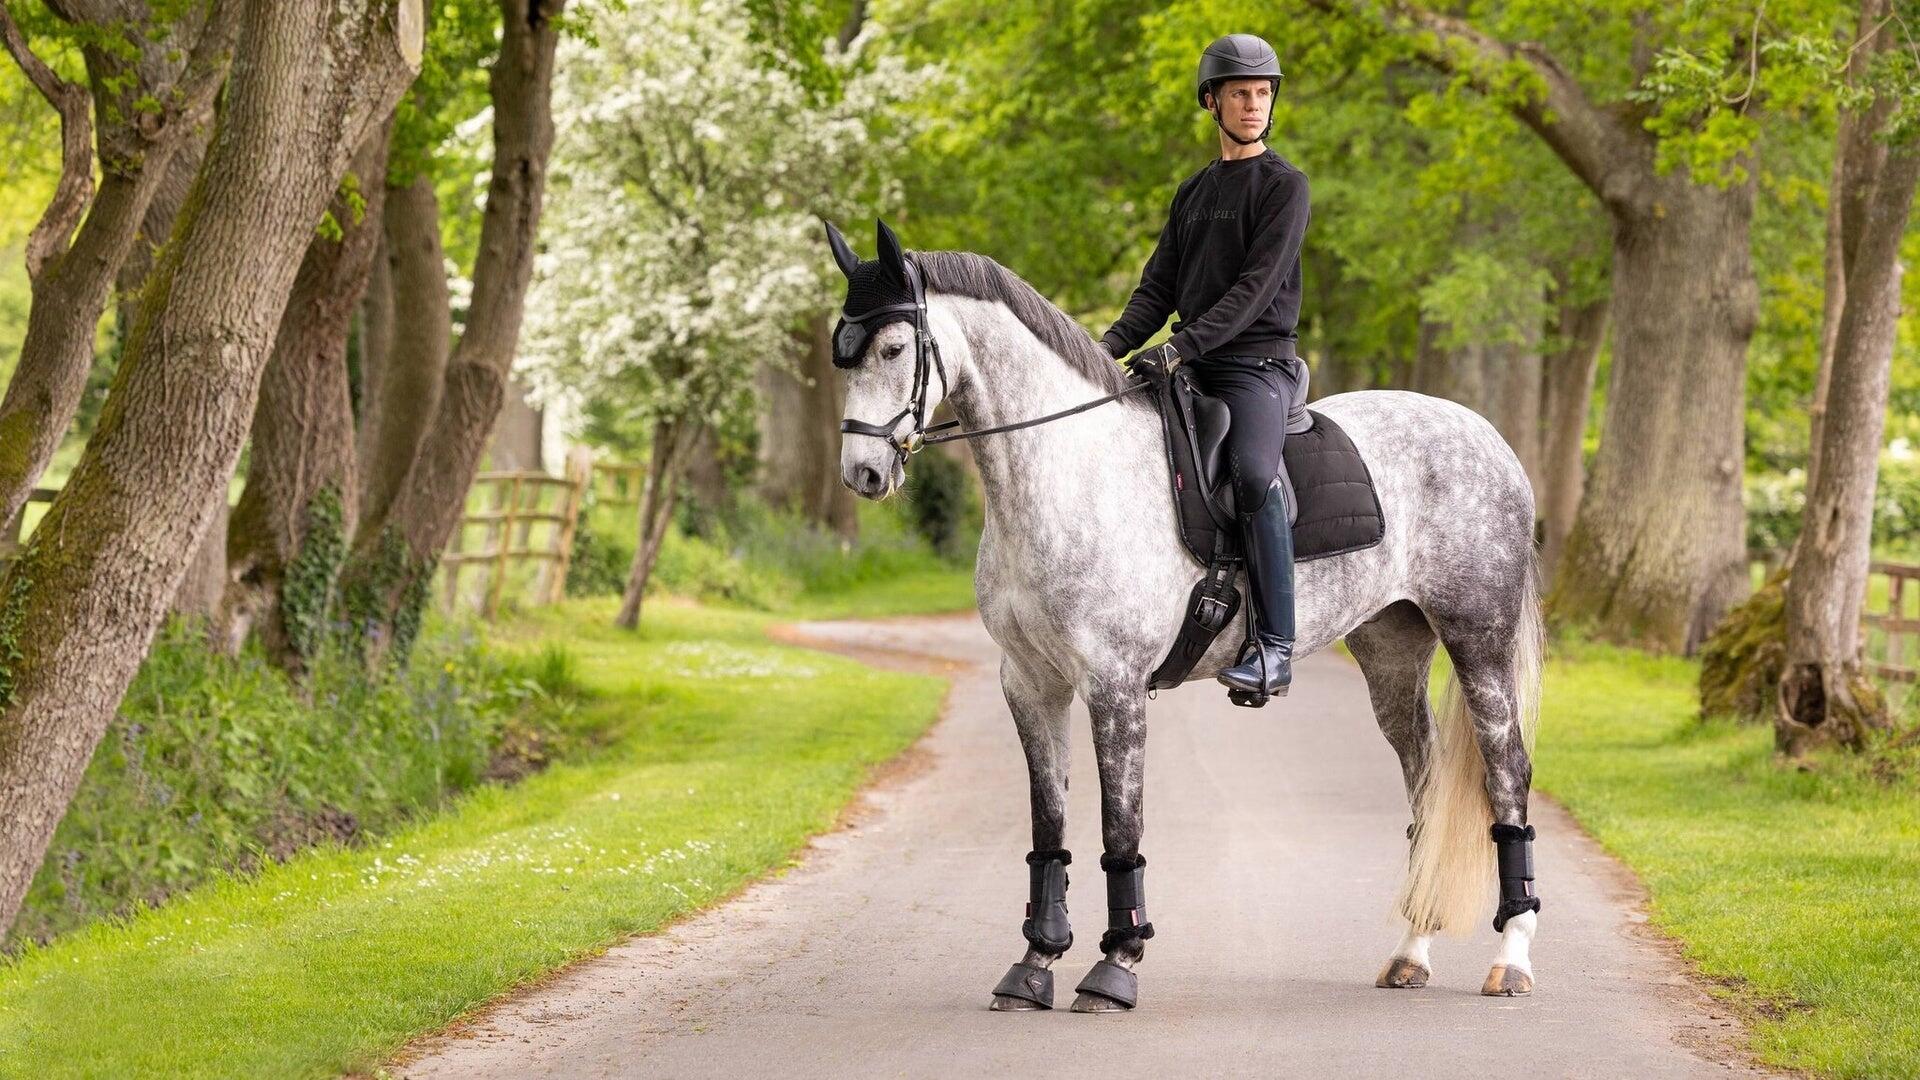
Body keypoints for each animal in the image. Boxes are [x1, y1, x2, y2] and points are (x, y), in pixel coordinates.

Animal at [826, 220, 1544, 1013]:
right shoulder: (1031, 684)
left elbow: (1120, 827)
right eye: (842, 350)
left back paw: (1512, 960)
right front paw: (1035, 964)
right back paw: (1411, 953)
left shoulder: (1114, 687)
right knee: (1426, 782)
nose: (863, 474)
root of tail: (1487, 437)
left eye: (894, 349)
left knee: (1508, 775)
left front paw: (1115, 966)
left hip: (1479, 641)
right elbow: (1050, 823)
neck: (1068, 472)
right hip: (1391, 652)